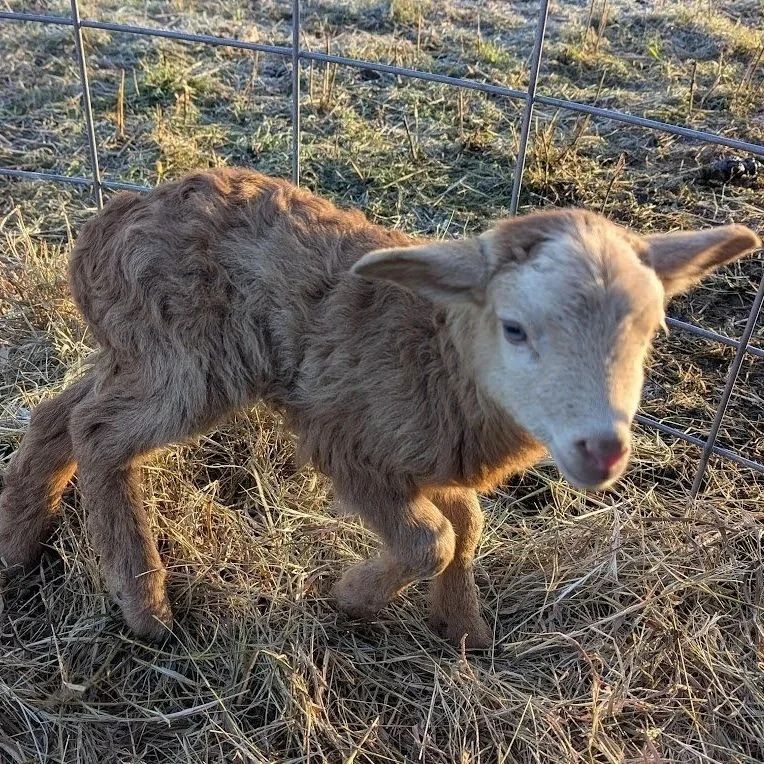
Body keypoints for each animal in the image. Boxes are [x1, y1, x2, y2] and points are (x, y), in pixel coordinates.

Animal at [0, 168, 759, 647]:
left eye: (650, 330)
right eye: (514, 328)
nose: (602, 450)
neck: (440, 353)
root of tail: (106, 224)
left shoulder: (426, 458)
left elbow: (467, 523)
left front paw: (463, 630)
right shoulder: (349, 441)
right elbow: (434, 539)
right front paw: (352, 597)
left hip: (138, 348)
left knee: (59, 413)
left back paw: (17, 542)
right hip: (186, 363)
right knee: (98, 431)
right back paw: (145, 605)